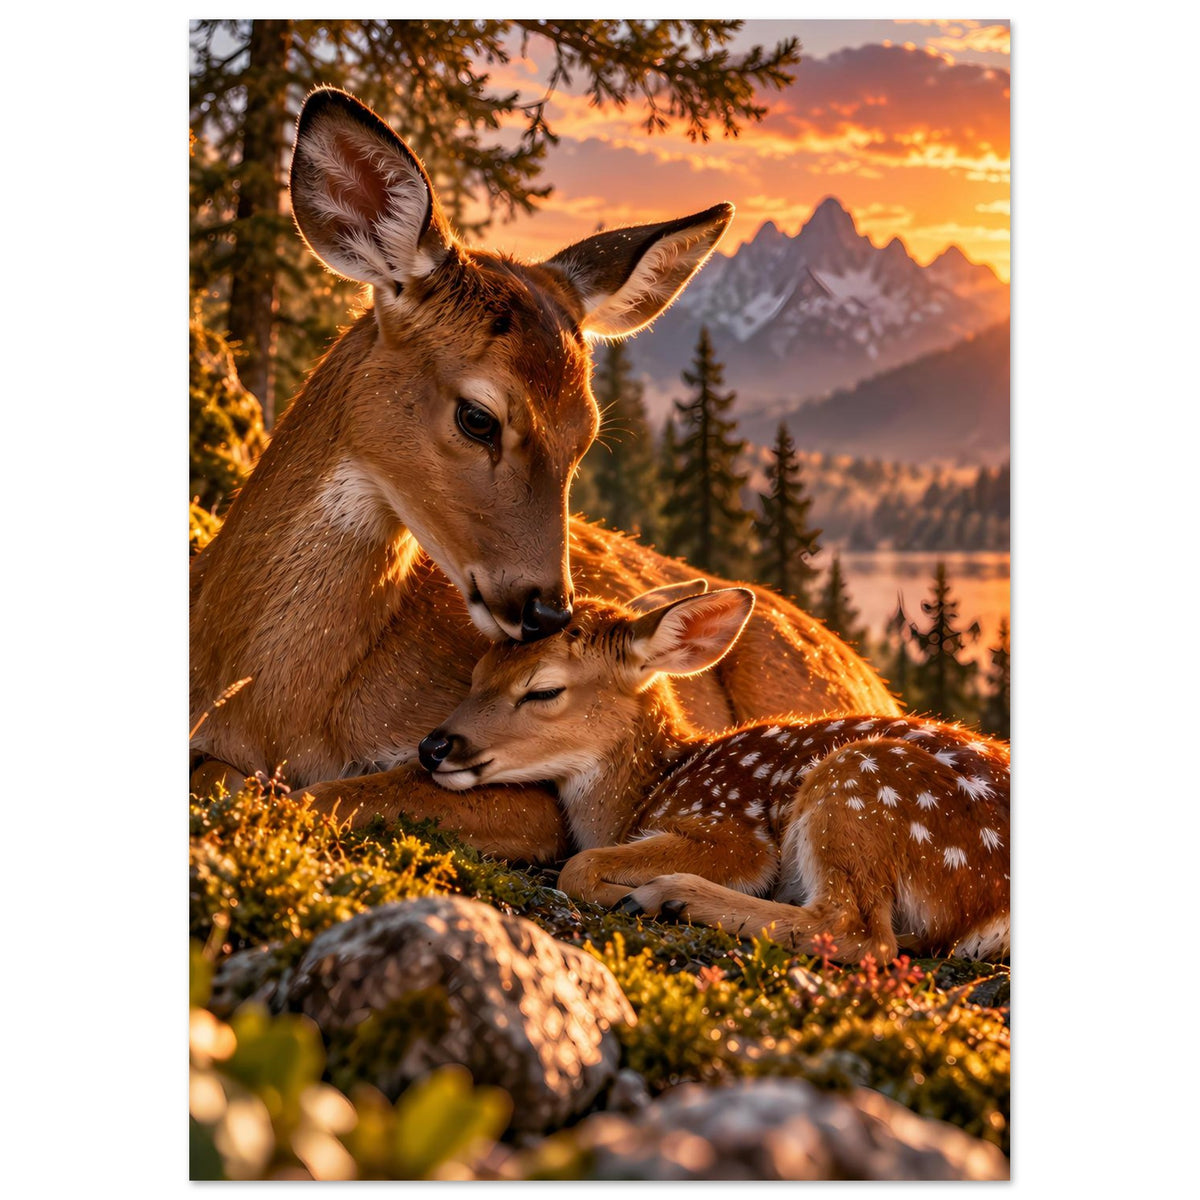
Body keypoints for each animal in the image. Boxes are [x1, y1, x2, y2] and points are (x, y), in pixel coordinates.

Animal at [190, 87, 901, 865]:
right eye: (478, 417)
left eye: (585, 434)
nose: (547, 610)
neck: (267, 705)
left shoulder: (527, 796)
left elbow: (320, 795)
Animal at [419, 583, 1010, 963]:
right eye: (477, 672)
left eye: (543, 690)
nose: (433, 746)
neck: (648, 788)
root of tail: (994, 904)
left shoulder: (729, 829)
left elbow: (579, 865)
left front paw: (623, 892)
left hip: (861, 782)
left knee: (858, 932)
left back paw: (667, 897)